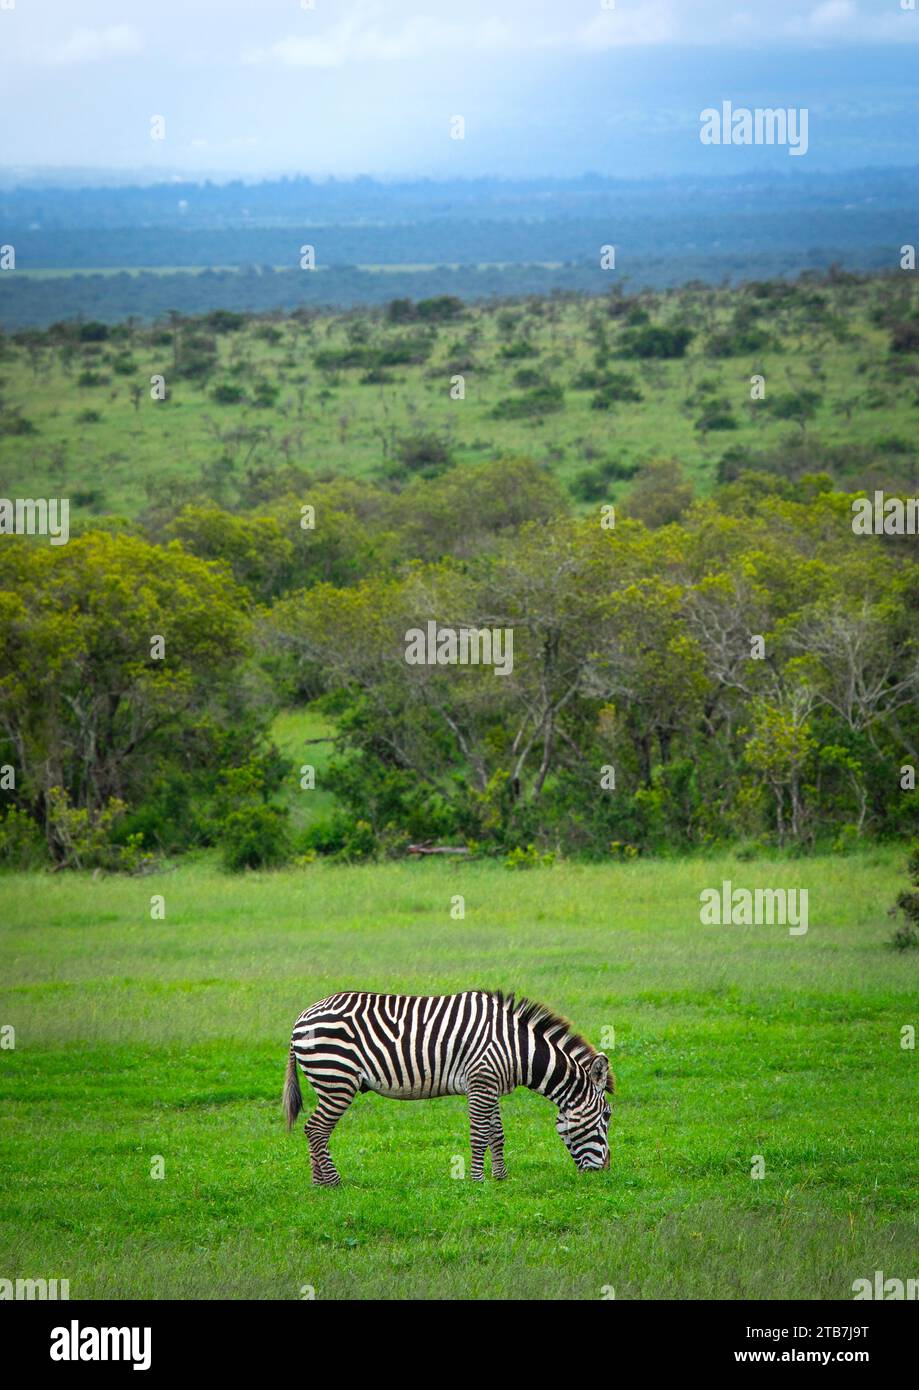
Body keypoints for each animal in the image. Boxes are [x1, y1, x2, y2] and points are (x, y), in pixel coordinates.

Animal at [283, 990, 615, 1185]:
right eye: (607, 1117)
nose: (606, 1171)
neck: (518, 1048)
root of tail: (301, 1016)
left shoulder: (491, 1085)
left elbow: (497, 1134)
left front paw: (501, 1178)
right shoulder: (481, 1081)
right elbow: (479, 1135)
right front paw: (477, 1181)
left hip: (330, 1082)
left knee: (313, 1130)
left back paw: (317, 1183)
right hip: (337, 1080)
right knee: (316, 1130)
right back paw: (333, 1183)